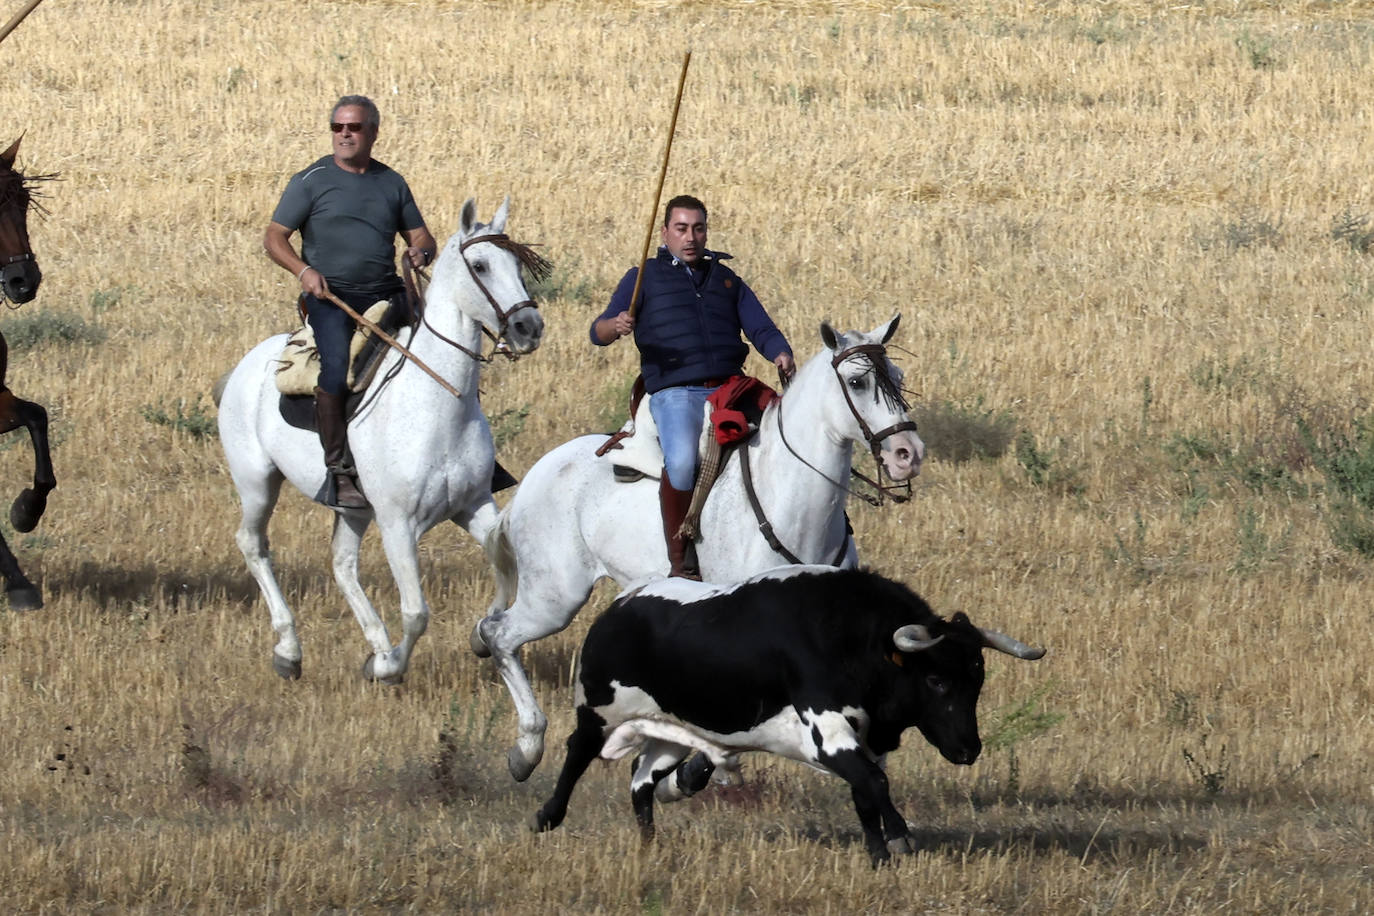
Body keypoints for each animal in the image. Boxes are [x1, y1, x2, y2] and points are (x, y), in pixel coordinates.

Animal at [214, 201, 546, 686]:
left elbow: (507, 569)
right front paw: (388, 667)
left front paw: (480, 637)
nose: (528, 328)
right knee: (252, 545)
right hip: (257, 482)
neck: (439, 405)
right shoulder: (397, 525)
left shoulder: (474, 505)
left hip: (352, 508)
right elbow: (416, 612)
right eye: (481, 265)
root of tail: (245, 365)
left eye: (518, 265)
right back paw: (290, 651)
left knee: (341, 564)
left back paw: (373, 641)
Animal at [469, 315, 923, 780]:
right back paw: (527, 748)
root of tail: (536, 476)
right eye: (857, 382)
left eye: (899, 377)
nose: (907, 454)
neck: (787, 499)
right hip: (554, 597)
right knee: (497, 633)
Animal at [530, 565, 1044, 867]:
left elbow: (865, 794)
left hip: (671, 733)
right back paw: (547, 816)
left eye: (977, 678)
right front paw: (900, 839)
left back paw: (650, 846)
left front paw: (879, 855)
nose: (968, 749)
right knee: (577, 752)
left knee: (641, 781)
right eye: (936, 680)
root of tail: (621, 605)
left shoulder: (865, 741)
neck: (850, 638)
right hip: (598, 710)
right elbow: (875, 784)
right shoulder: (827, 734)